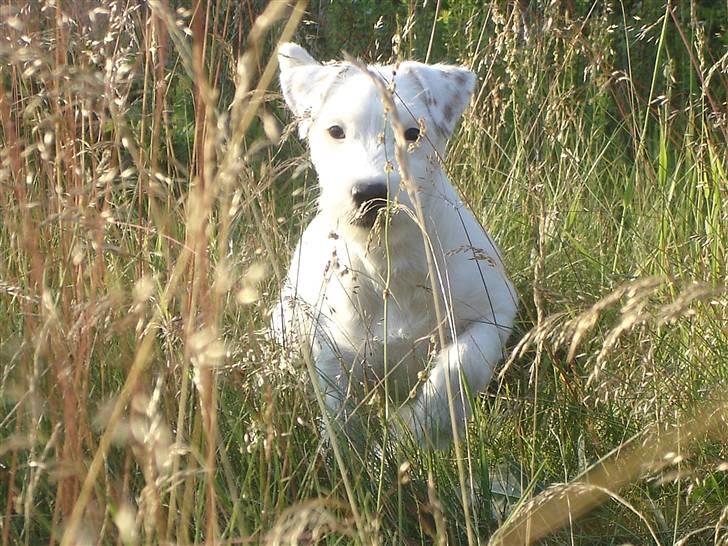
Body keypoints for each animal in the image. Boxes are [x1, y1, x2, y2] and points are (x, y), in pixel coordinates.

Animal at [272, 43, 516, 446]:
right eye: (335, 131)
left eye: (413, 133)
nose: (370, 193)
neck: (390, 257)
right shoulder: (326, 339)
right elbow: (337, 403)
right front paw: (348, 450)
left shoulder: (493, 314)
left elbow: (457, 368)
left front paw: (409, 432)